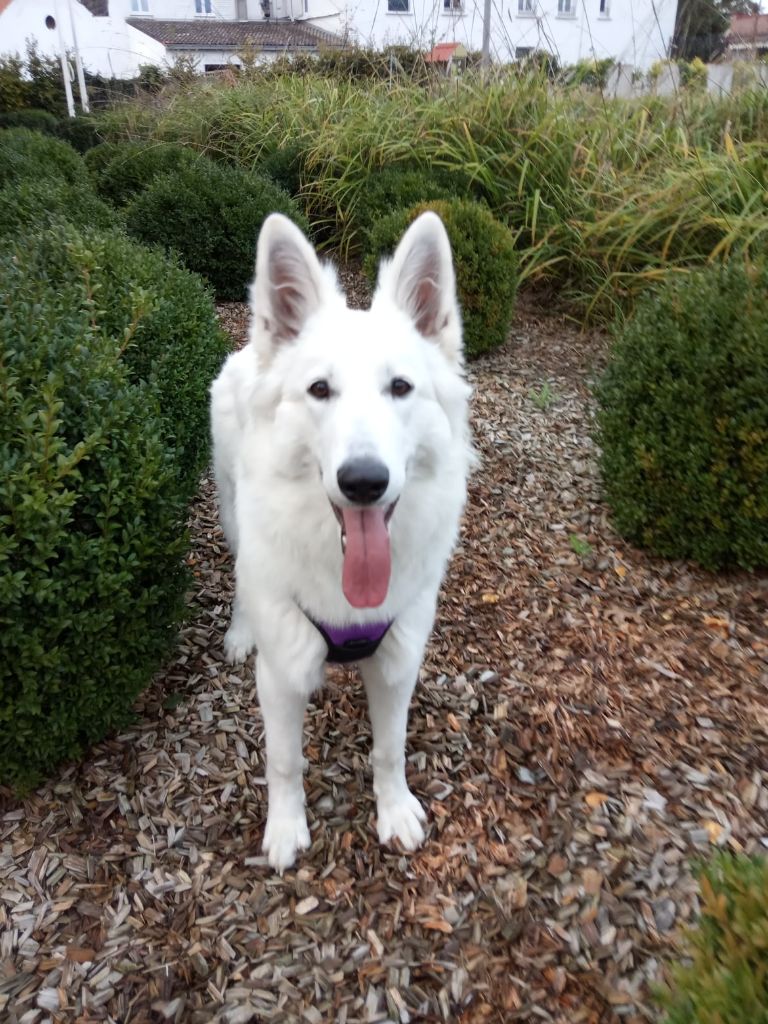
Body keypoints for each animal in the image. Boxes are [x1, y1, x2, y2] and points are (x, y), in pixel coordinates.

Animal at [211, 211, 475, 868]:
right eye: (319, 390)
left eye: (401, 387)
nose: (363, 482)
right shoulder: (281, 675)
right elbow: (284, 760)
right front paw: (285, 829)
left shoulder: (398, 661)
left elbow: (390, 748)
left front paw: (394, 810)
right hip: (233, 516)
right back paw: (240, 630)